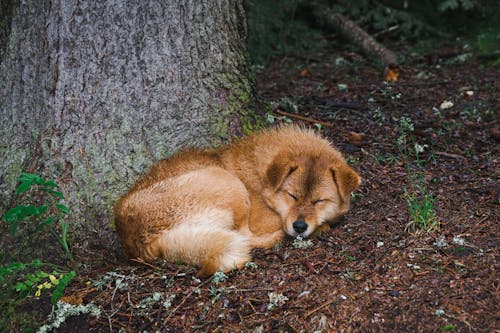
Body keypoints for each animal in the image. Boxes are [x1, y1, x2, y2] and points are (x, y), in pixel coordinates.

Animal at [115, 125, 362, 274]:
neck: (261, 178)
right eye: (292, 195)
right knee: (247, 237)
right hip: (227, 182)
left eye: (319, 201)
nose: (299, 226)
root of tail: (141, 243)